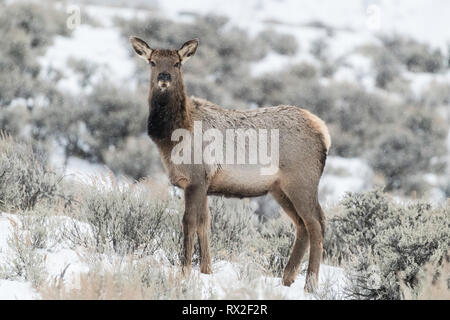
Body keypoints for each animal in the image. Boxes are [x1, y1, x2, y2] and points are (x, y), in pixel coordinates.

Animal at [130, 35, 330, 292]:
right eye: (153, 62)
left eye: (177, 63)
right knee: (302, 226)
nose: (164, 77)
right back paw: (287, 279)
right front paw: (206, 270)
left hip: (302, 182)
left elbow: (189, 222)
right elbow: (205, 223)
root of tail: (323, 132)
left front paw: (185, 270)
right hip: (280, 189)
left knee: (316, 224)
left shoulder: (196, 179)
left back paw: (310, 284)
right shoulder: (203, 184)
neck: (172, 137)